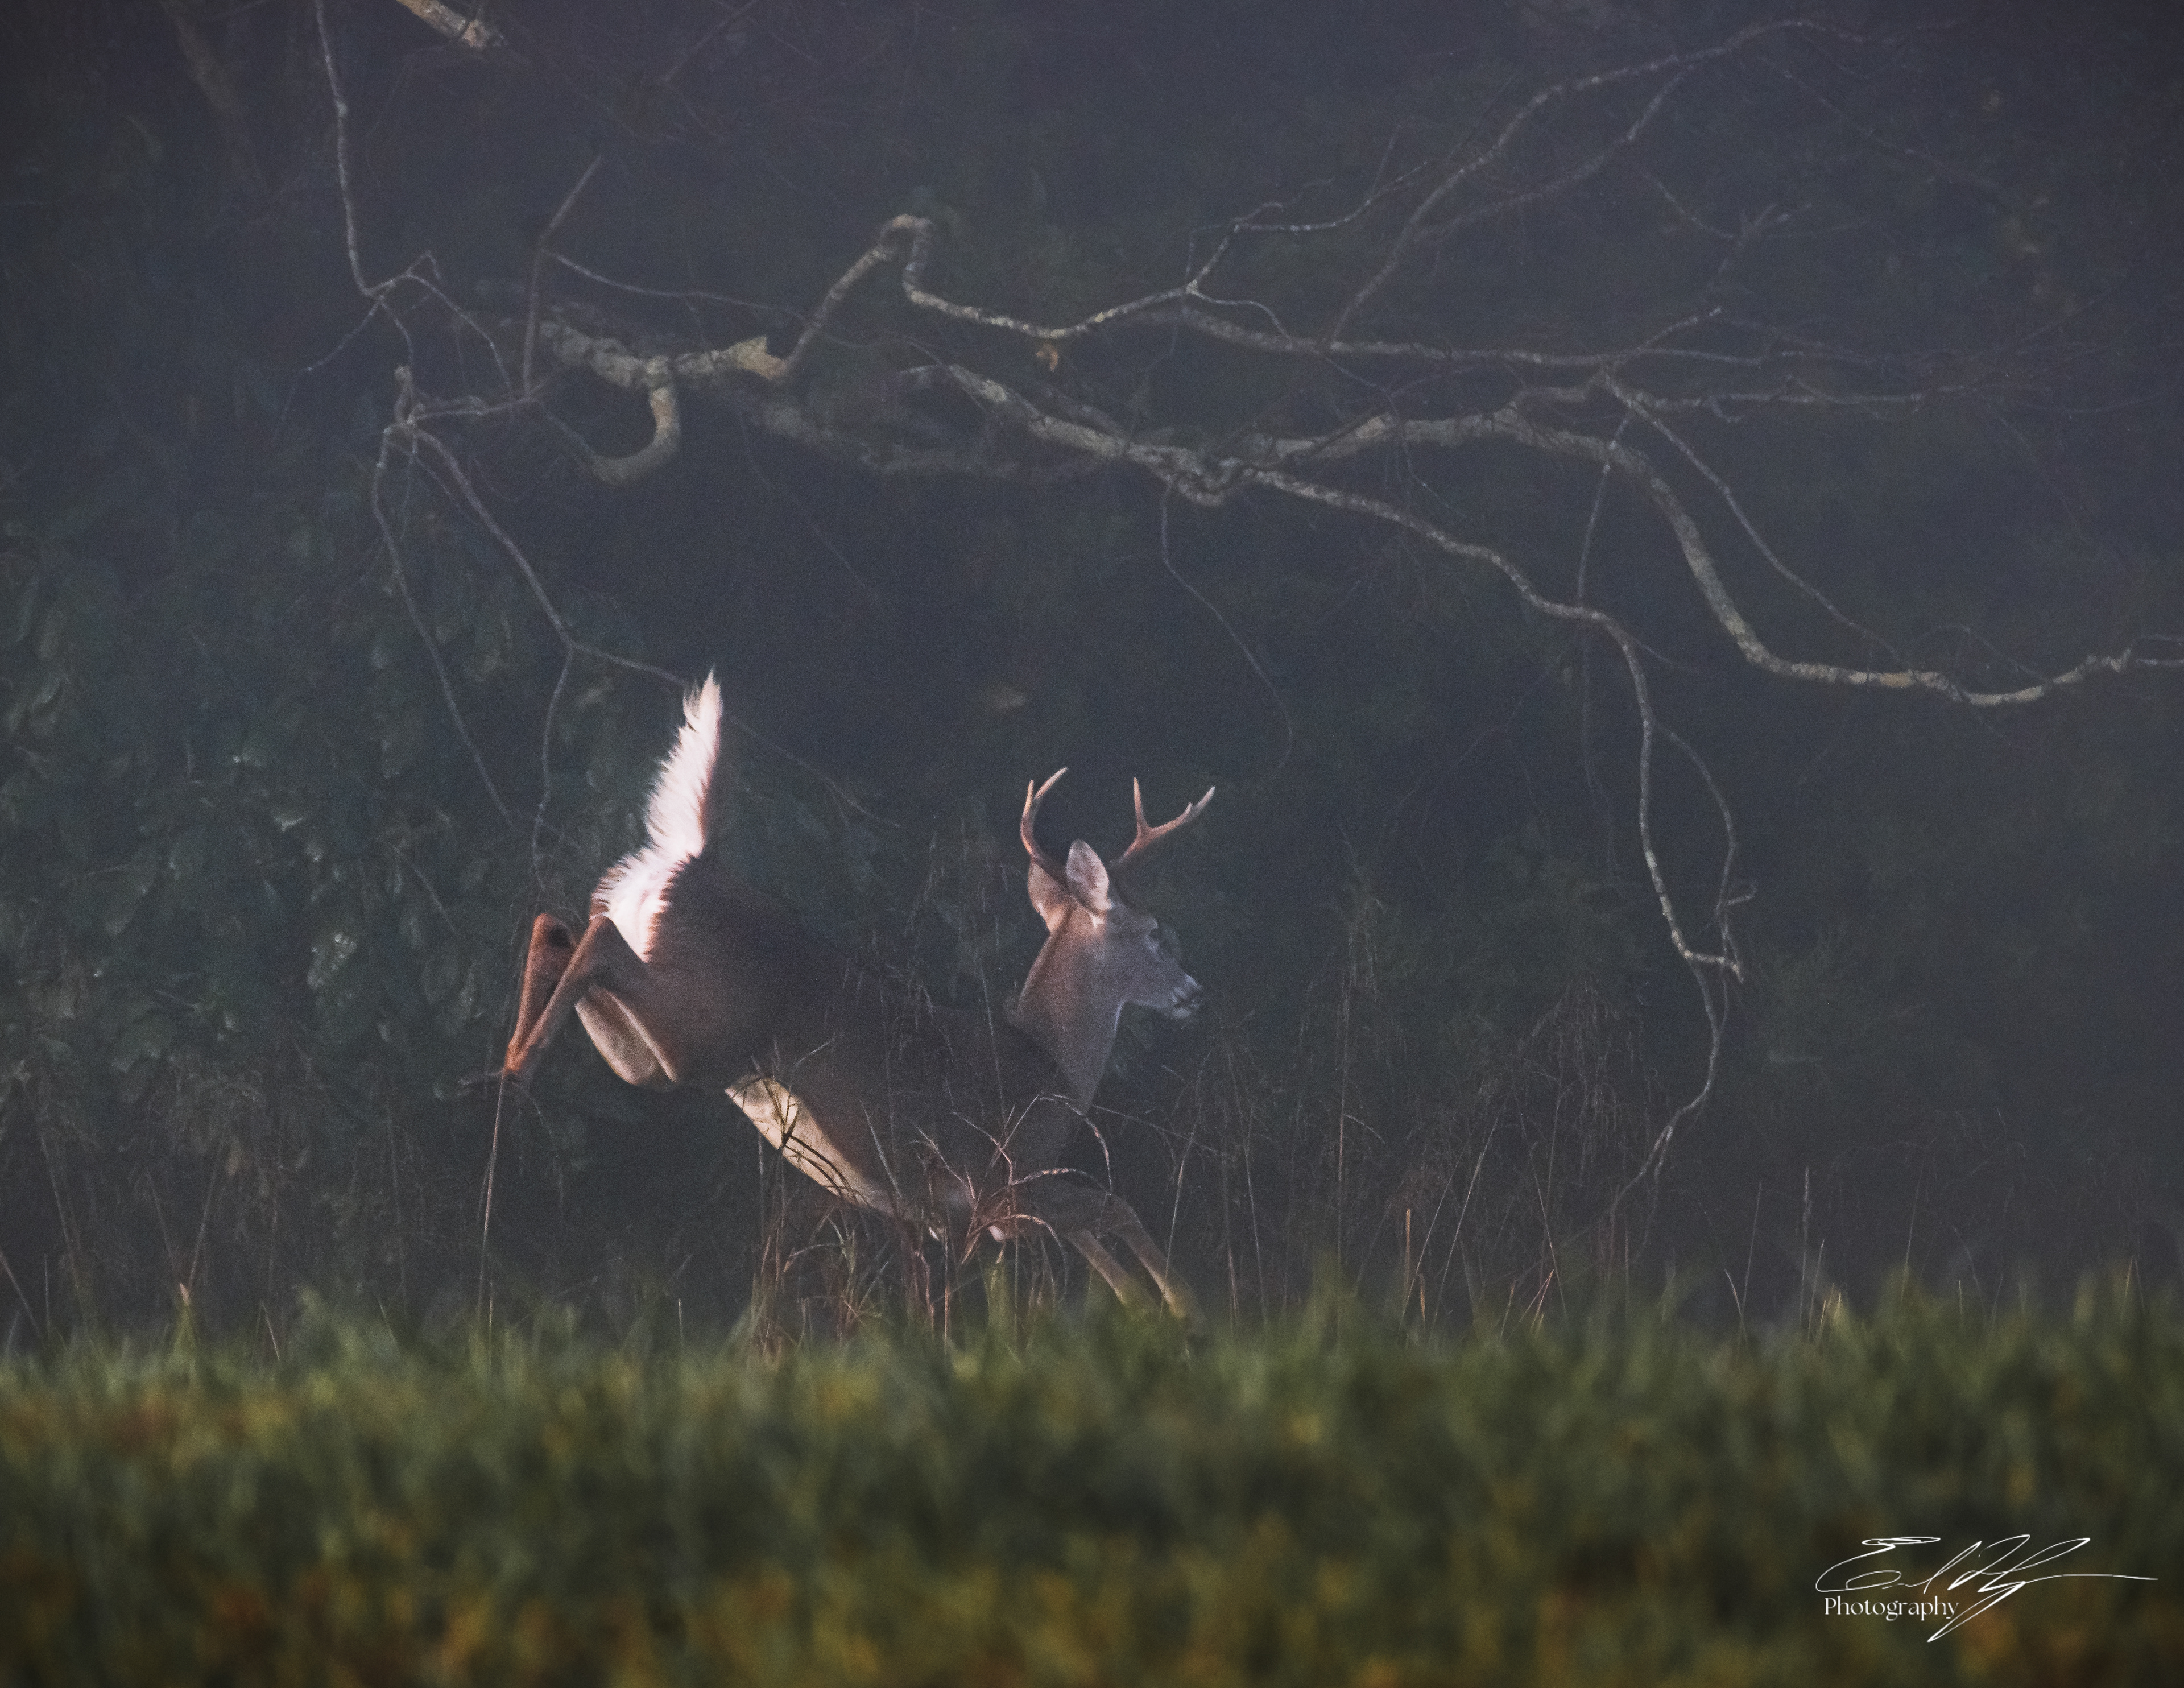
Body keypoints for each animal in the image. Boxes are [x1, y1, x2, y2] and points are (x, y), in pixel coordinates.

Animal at [498, 673, 1212, 1317]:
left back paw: (510, 1061)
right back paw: (521, 1064)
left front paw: (1147, 1309)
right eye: (1154, 934)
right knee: (596, 938)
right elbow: (1114, 1207)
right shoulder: (992, 1184)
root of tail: (691, 861)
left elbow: (1090, 1243)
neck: (1052, 1064)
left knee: (558, 925)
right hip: (707, 1034)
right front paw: (1185, 1311)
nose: (1194, 992)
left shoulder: (956, 1212)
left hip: (655, 1050)